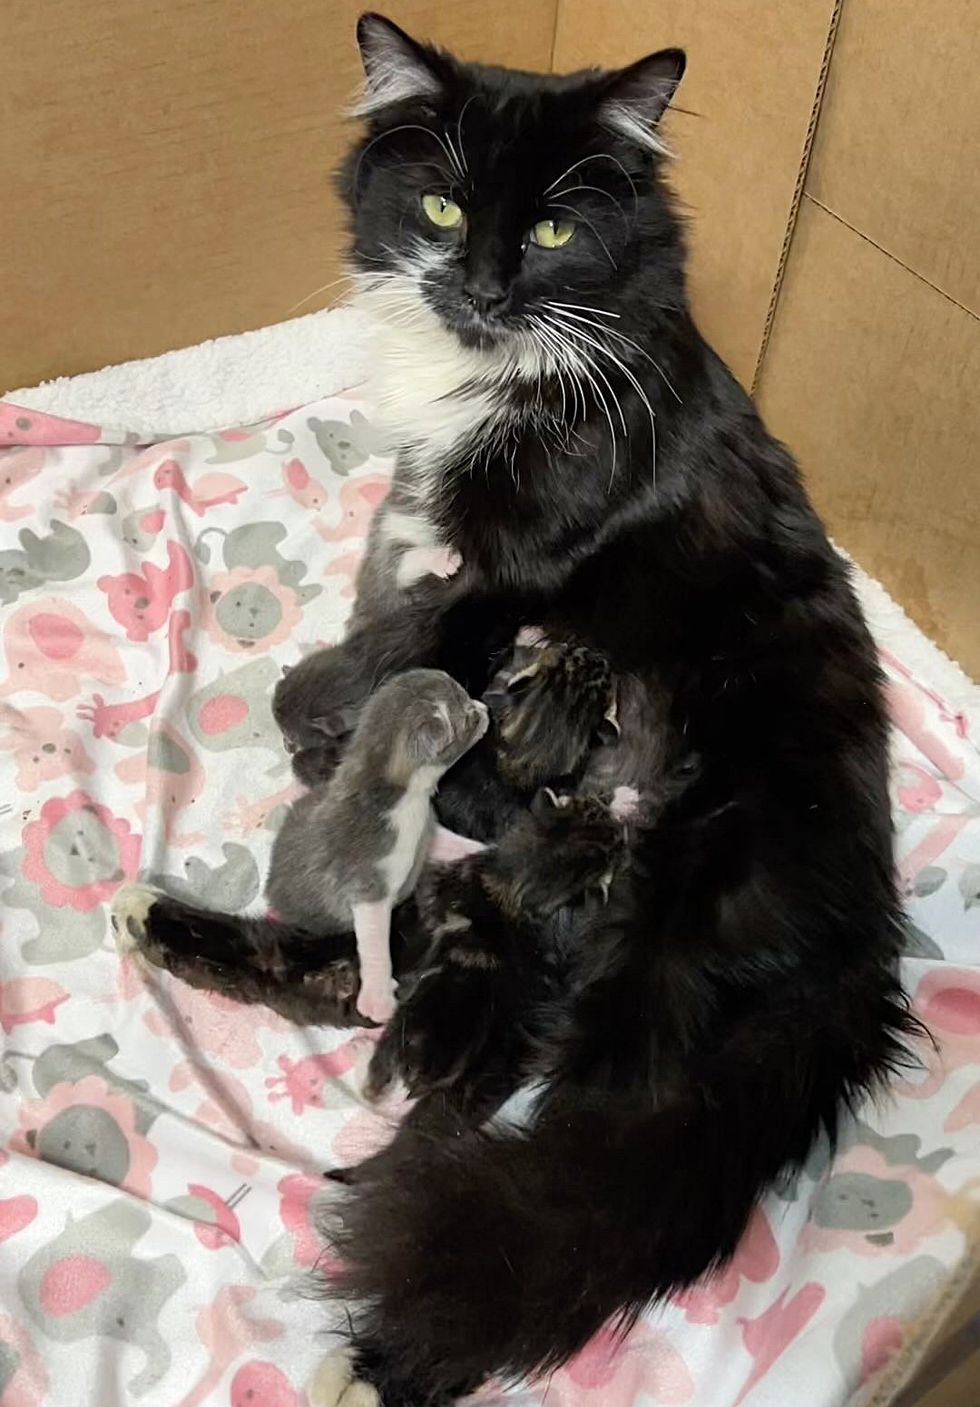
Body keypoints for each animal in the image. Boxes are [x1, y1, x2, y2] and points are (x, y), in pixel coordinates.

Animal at [267, 664, 486, 1018]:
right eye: (468, 716)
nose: (483, 708)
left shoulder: (424, 832)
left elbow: (455, 845)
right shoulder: (366, 883)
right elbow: (373, 943)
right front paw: (378, 998)